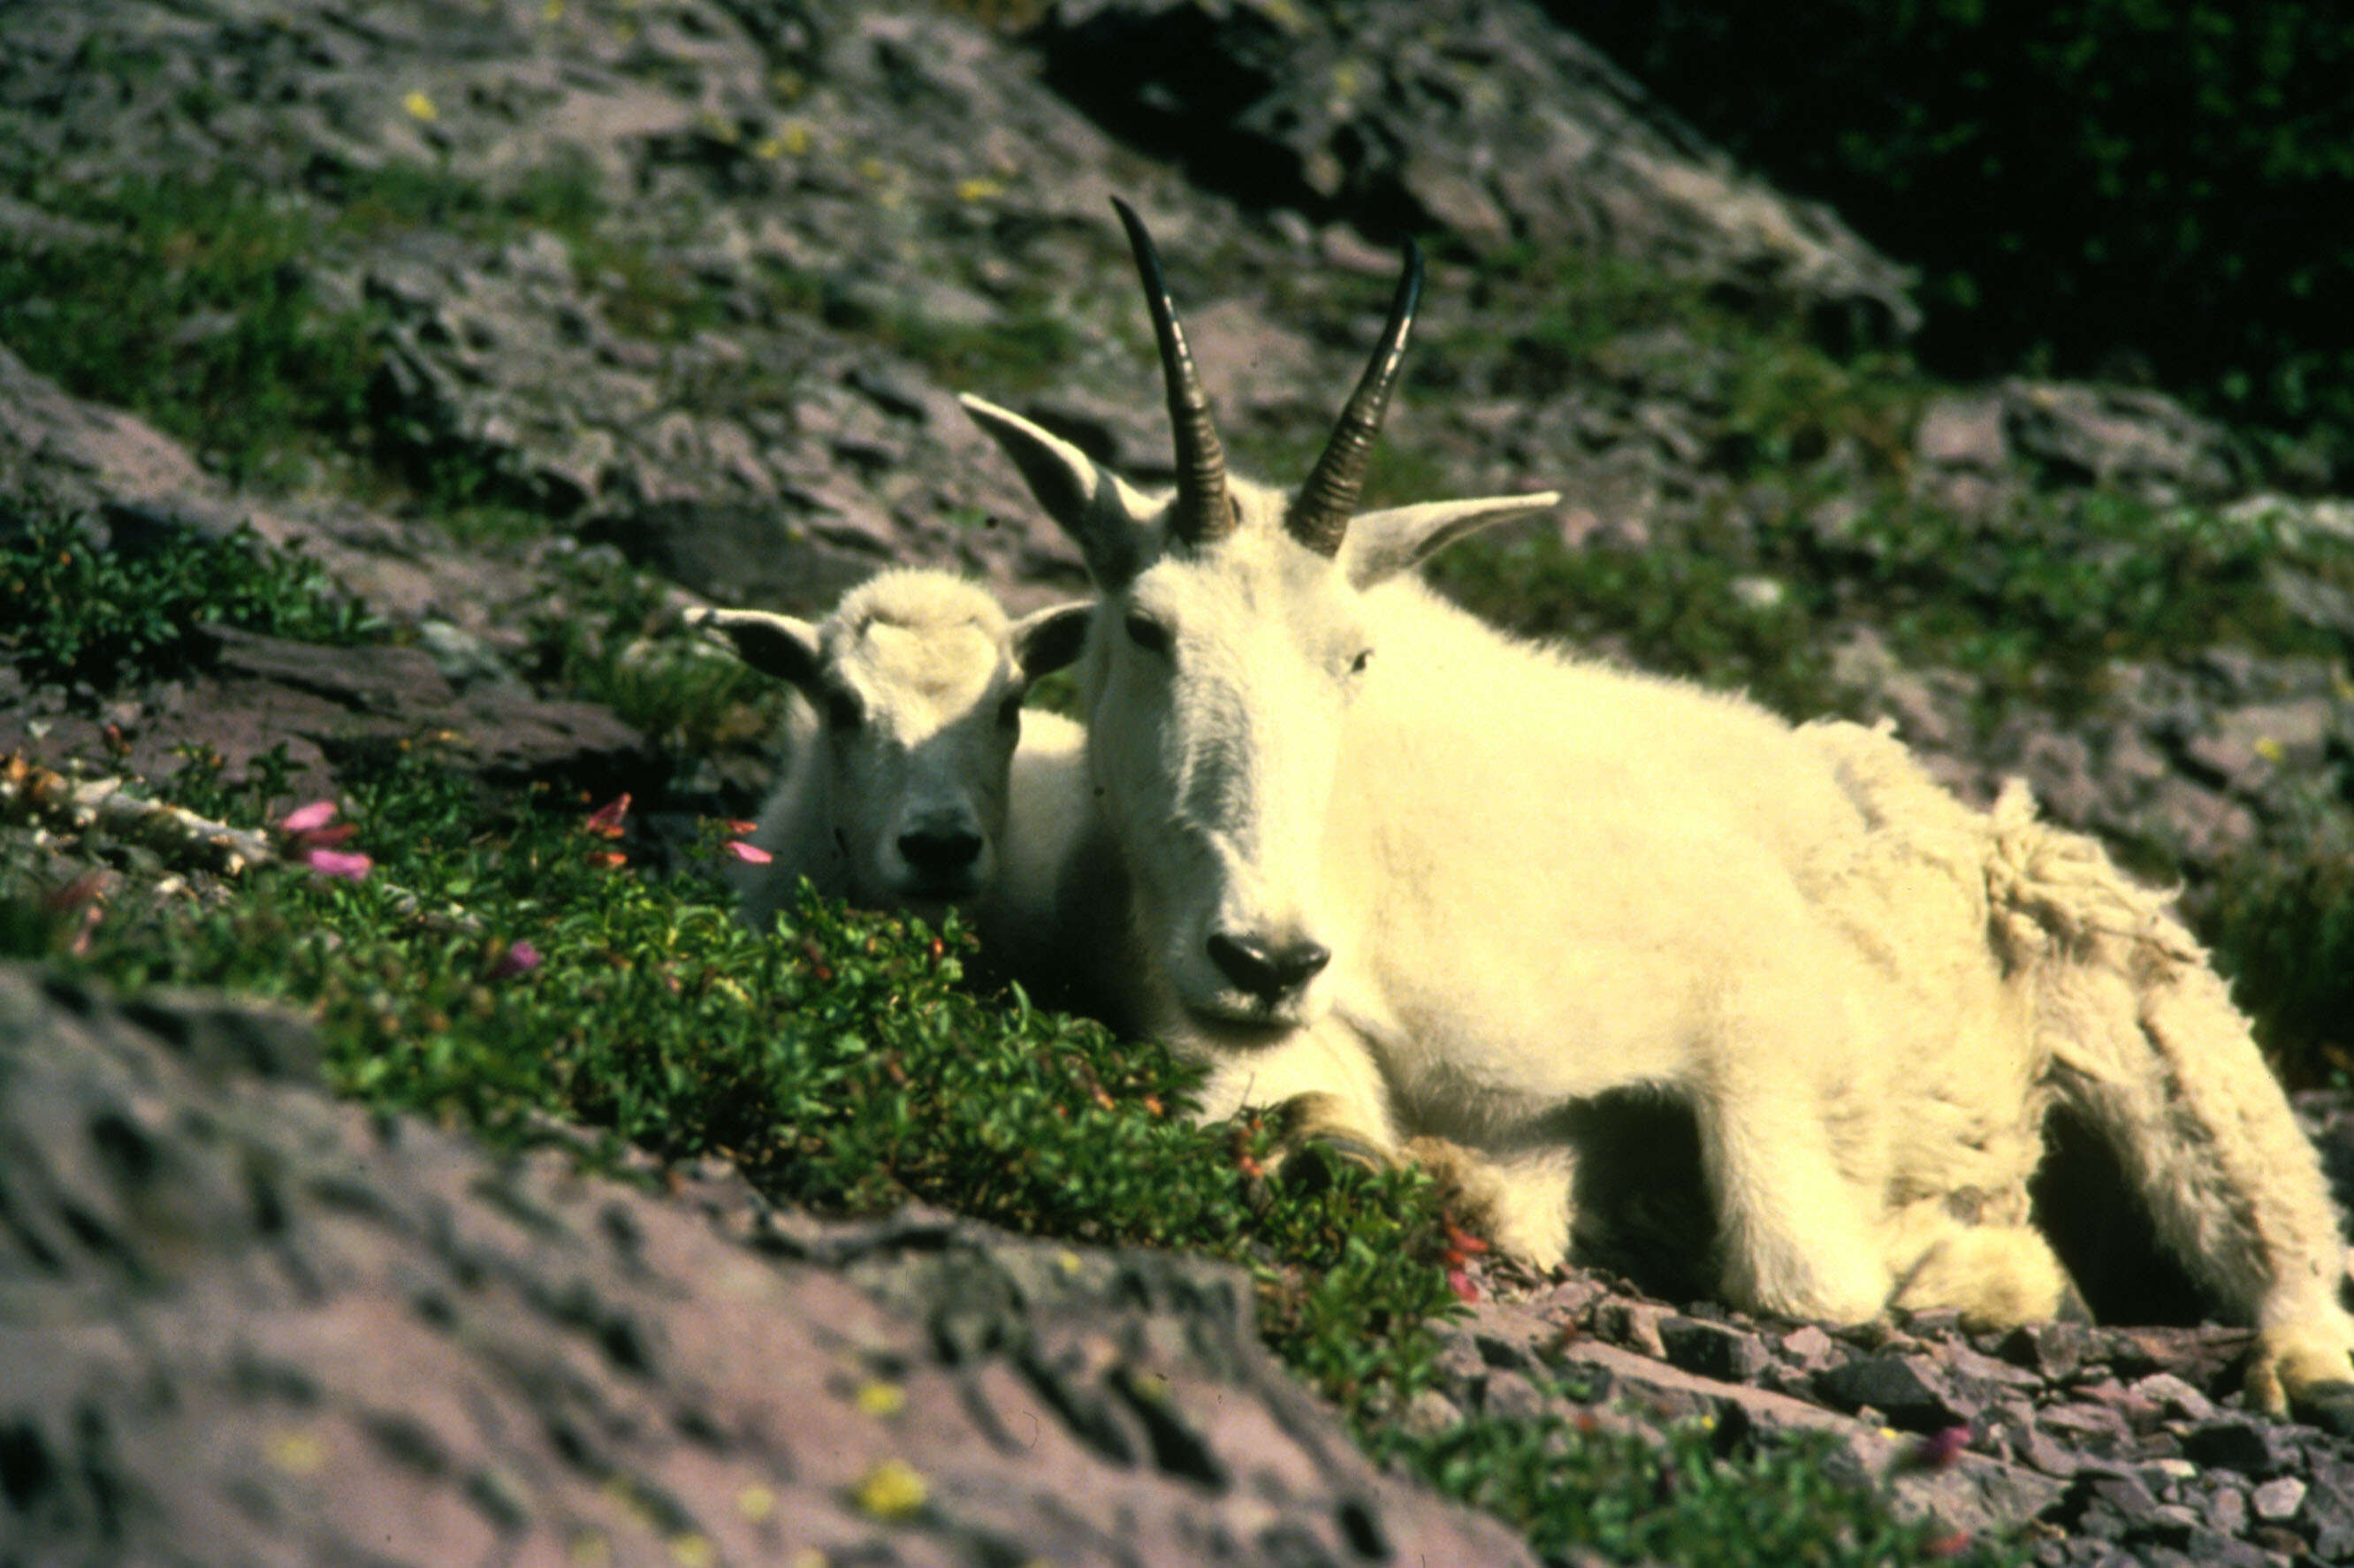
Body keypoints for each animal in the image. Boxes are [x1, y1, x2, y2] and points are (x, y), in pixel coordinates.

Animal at [956, 199, 2354, 1431]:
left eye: (1353, 655)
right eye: (1145, 627)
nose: (1264, 957)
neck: (1372, 873)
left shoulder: (1755, 1015)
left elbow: (1803, 1268)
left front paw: (1956, 1262)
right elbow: (1334, 1123)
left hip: (2165, 1032)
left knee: (2280, 1243)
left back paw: (2273, 1360)